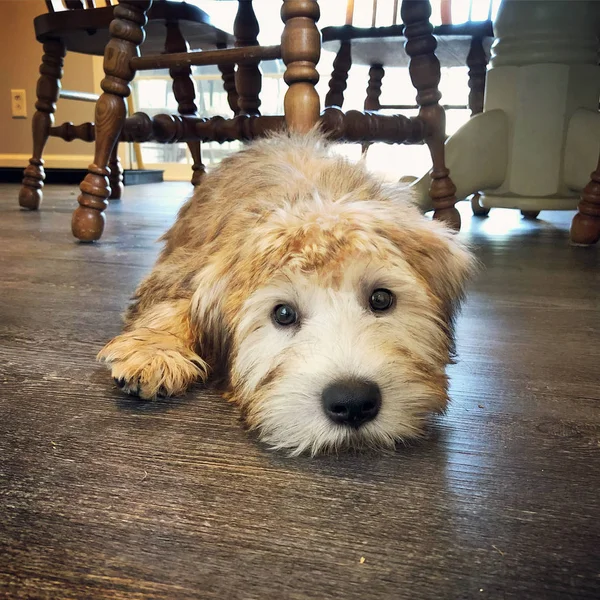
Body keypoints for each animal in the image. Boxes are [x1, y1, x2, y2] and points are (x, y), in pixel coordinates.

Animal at [97, 132, 474, 454]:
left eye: (381, 298)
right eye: (283, 314)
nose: (353, 402)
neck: (314, 198)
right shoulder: (185, 267)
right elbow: (176, 305)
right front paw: (155, 352)